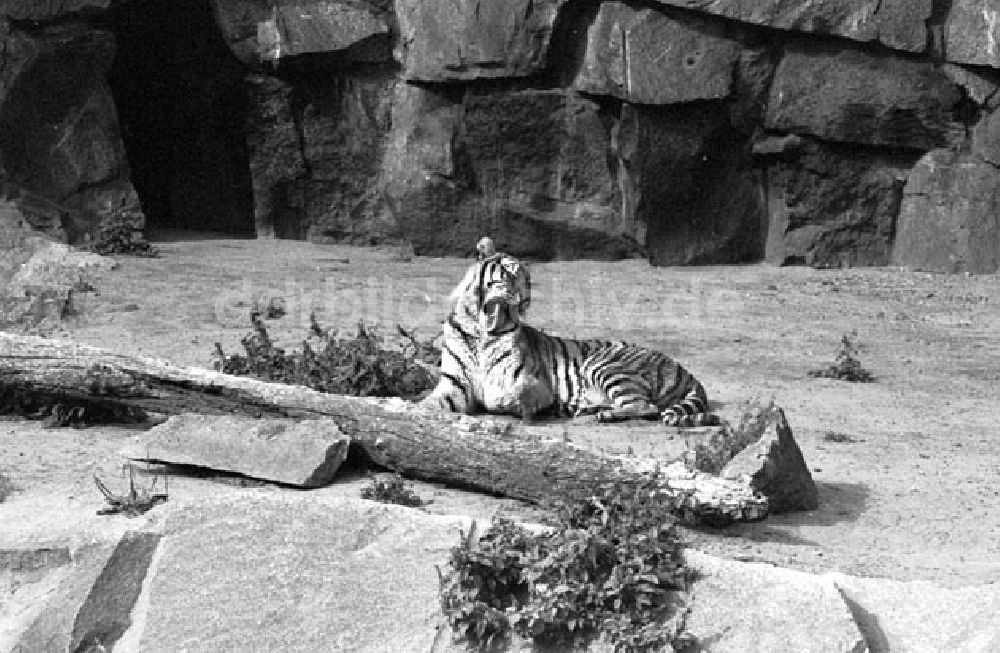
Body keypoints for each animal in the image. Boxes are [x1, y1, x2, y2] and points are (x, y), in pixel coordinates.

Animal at [418, 242, 716, 426]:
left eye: (528, 281)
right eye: (509, 274)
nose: (525, 300)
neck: (481, 333)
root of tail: (685, 371)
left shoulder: (533, 381)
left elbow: (515, 393)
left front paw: (507, 400)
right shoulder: (455, 384)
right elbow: (432, 402)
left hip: (604, 365)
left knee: (647, 407)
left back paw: (606, 414)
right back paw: (592, 409)